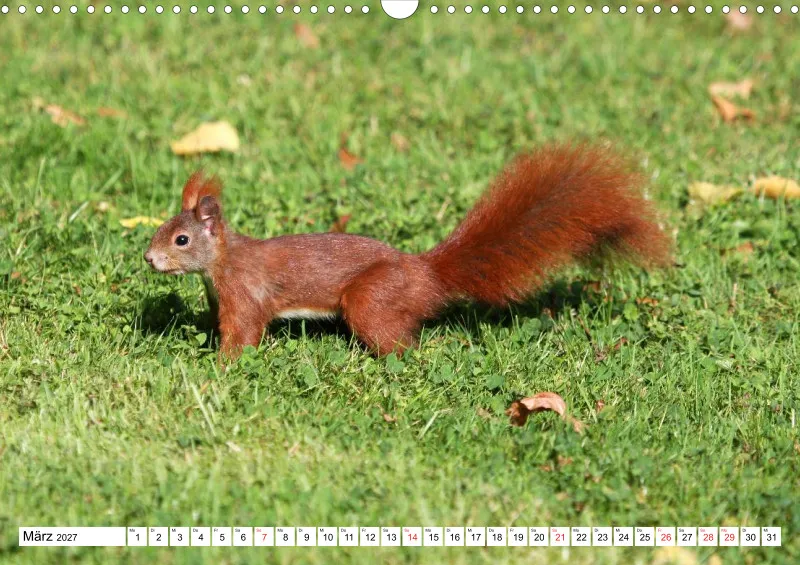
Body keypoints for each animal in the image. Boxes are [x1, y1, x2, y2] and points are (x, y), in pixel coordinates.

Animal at [144, 144, 670, 361]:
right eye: (164, 229)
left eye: (181, 240)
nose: (149, 259)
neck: (223, 262)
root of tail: (427, 275)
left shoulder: (245, 295)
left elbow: (244, 334)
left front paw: (220, 367)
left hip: (371, 299)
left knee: (400, 342)